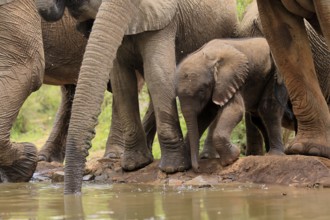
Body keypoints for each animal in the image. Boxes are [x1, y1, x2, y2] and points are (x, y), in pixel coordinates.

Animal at [37, 0, 238, 192]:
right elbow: (122, 82)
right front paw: (135, 165)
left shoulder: (164, 19)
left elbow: (157, 73)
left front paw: (173, 168)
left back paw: (206, 156)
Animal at [177, 37, 288, 171]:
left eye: (201, 91)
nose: (197, 167)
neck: (209, 57)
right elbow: (205, 115)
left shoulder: (231, 79)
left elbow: (236, 110)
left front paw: (232, 157)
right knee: (259, 117)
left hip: (276, 74)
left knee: (268, 109)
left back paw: (274, 154)